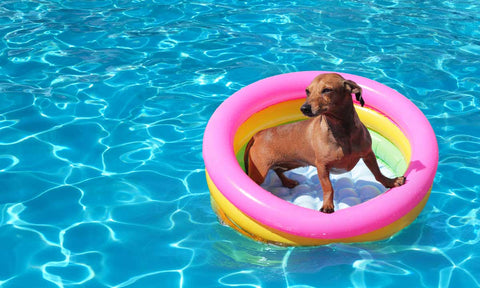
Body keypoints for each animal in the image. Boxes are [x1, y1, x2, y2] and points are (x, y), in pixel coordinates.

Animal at [244, 72, 404, 212]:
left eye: (327, 90)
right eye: (307, 91)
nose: (304, 108)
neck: (342, 132)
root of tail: (259, 134)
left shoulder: (368, 154)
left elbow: (377, 174)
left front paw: (390, 182)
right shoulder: (322, 167)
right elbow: (328, 188)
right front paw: (327, 205)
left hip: (290, 163)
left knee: (278, 169)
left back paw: (288, 182)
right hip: (259, 173)